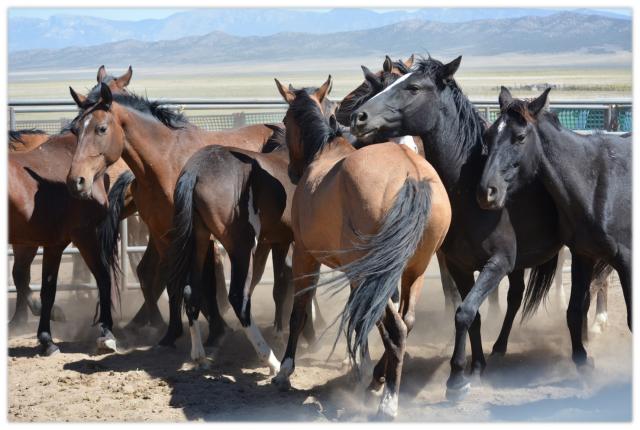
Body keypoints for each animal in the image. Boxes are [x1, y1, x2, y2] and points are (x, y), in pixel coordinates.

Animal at [270, 76, 450, 420]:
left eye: (286, 120)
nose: (293, 173)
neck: (325, 152)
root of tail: (412, 175)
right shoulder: (357, 275)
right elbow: (359, 318)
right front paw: (361, 367)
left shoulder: (305, 256)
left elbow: (299, 312)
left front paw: (285, 371)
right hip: (413, 271)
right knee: (405, 322)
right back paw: (379, 380)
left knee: (395, 329)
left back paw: (387, 402)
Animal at [348, 56, 564, 400]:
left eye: (413, 87)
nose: (359, 116)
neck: (470, 192)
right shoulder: (460, 265)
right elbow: (471, 315)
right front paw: (475, 366)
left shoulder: (497, 264)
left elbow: (463, 312)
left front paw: (456, 379)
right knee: (516, 296)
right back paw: (499, 347)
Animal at [476, 88, 632, 366]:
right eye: (488, 135)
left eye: (520, 137)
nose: (487, 191)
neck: (596, 182)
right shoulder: (584, 254)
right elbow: (575, 310)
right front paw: (581, 358)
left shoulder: (627, 261)